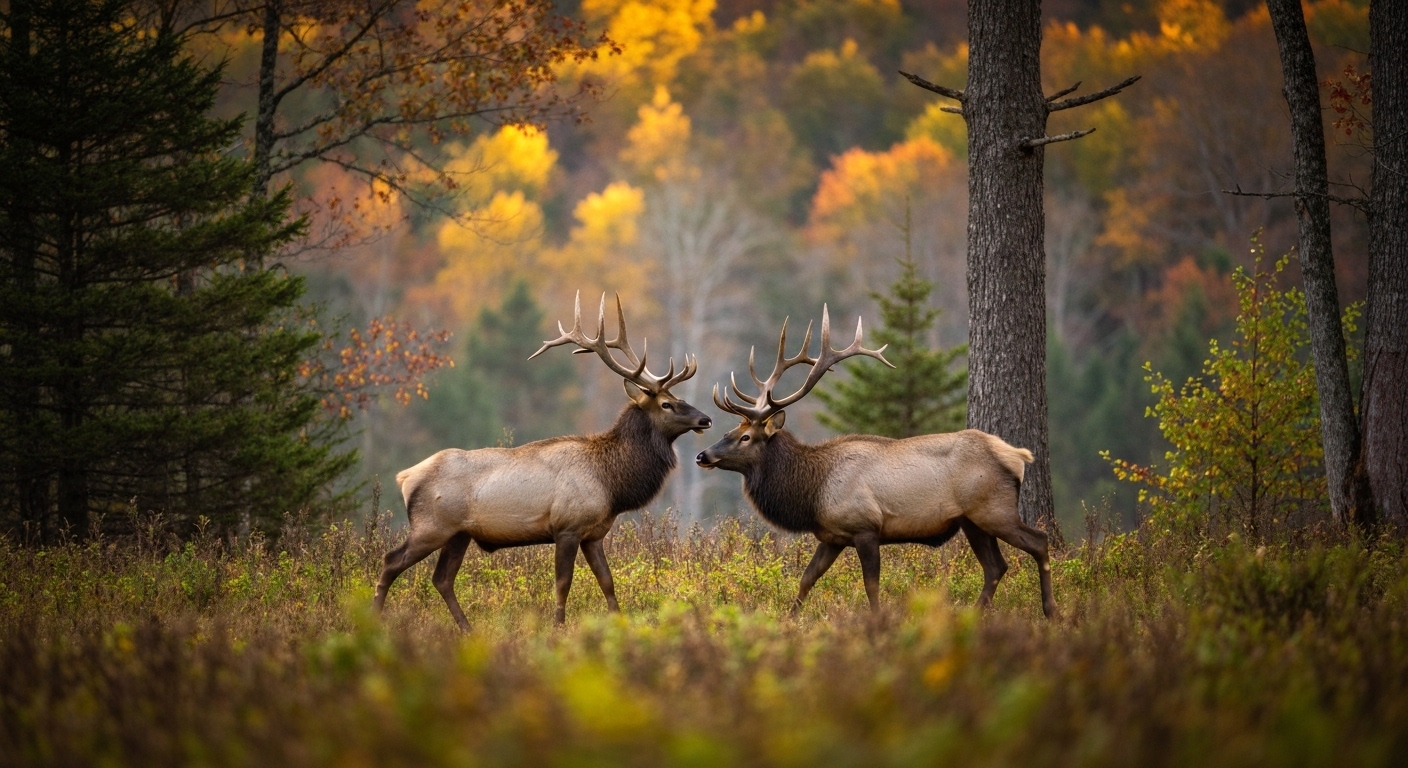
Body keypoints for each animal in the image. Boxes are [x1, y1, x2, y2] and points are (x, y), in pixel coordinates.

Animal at [374, 293, 713, 628]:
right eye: (667, 404)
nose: (706, 419)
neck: (612, 485)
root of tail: (405, 477)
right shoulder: (567, 527)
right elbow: (563, 583)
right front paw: (558, 627)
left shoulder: (594, 534)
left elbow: (607, 582)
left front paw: (618, 623)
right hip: (431, 525)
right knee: (391, 561)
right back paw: (373, 617)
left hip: (458, 534)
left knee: (442, 578)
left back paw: (467, 629)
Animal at [695, 307, 1056, 618]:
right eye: (729, 431)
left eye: (746, 437)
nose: (703, 455)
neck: (812, 493)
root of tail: (1018, 456)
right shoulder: (832, 536)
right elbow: (807, 579)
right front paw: (789, 619)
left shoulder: (865, 526)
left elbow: (871, 585)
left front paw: (878, 621)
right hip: (972, 520)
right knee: (996, 566)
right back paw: (974, 615)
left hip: (993, 508)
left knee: (1038, 542)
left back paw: (1050, 611)